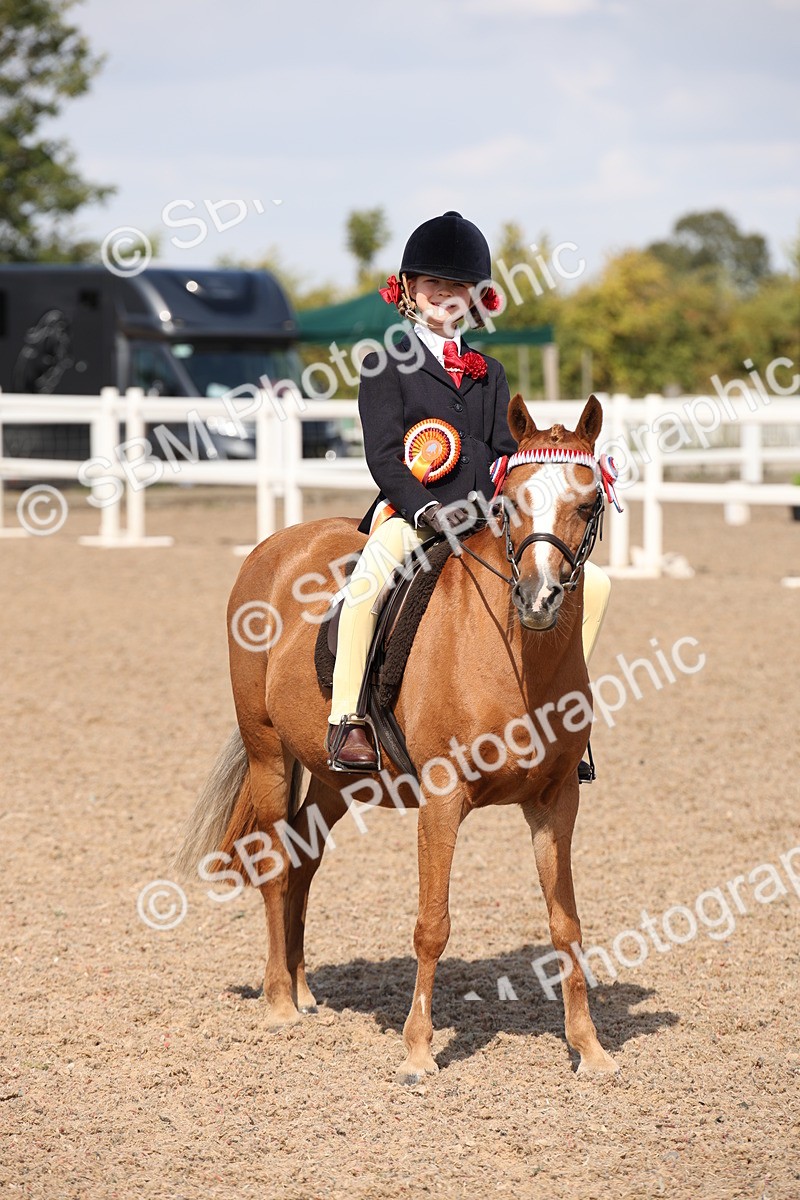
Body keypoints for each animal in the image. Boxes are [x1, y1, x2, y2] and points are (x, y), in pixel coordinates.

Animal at [175, 393, 618, 1082]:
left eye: (588, 501)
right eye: (511, 501)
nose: (538, 598)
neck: (514, 656)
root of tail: (276, 546)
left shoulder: (555, 802)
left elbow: (565, 924)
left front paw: (589, 1049)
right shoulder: (441, 799)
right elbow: (432, 924)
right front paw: (417, 1052)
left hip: (334, 777)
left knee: (302, 858)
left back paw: (304, 992)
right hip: (268, 751)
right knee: (274, 863)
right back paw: (278, 1004)